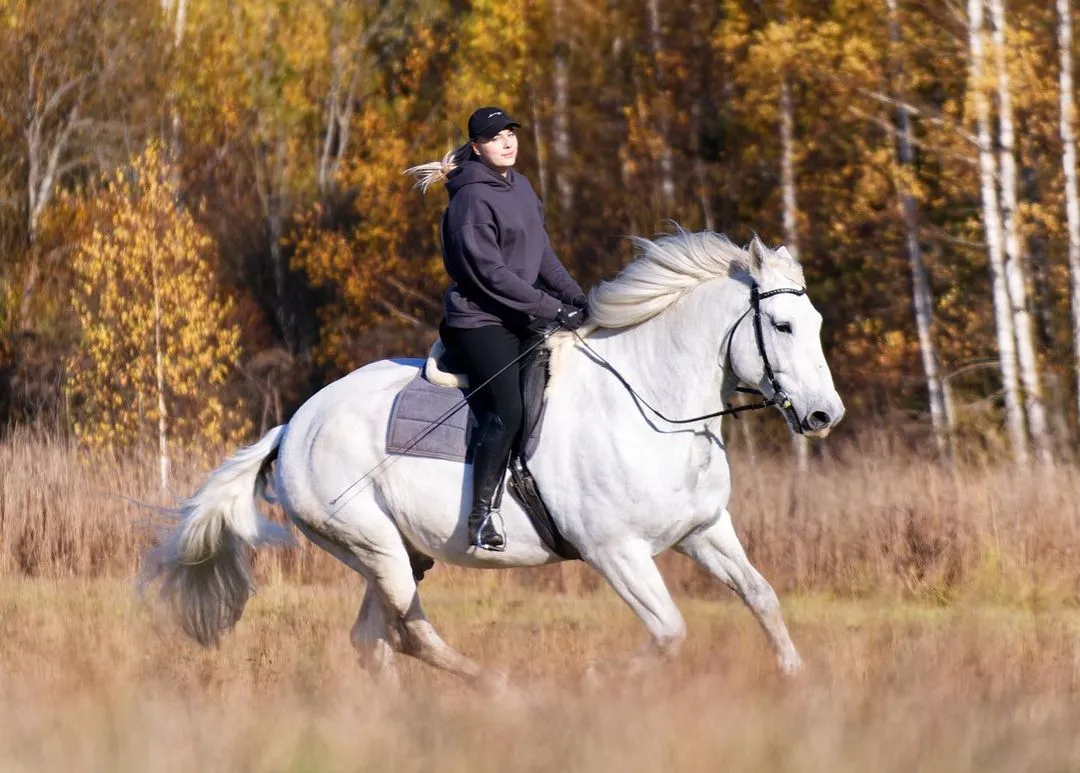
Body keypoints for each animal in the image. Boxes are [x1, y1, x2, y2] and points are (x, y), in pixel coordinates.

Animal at [143, 229, 846, 682]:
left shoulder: (703, 531)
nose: (823, 417)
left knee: (374, 640)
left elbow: (761, 597)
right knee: (411, 635)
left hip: (399, 555)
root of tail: (293, 425)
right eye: (782, 326)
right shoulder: (615, 552)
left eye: (814, 324)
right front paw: (596, 678)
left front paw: (796, 681)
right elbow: (670, 632)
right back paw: (496, 688)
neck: (650, 404)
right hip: (372, 544)